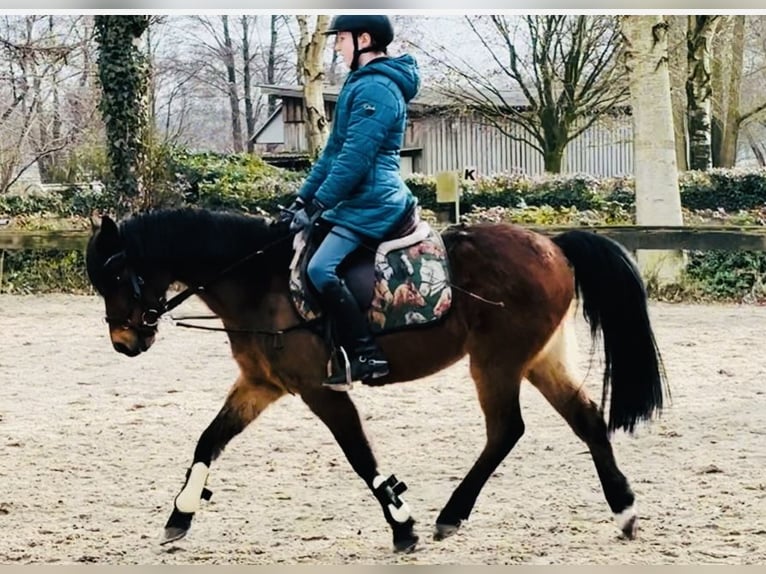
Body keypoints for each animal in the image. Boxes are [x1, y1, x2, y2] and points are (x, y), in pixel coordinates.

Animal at [87, 207, 668, 552]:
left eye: (115, 273)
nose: (123, 342)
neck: (259, 283)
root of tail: (554, 246)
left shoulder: (319, 389)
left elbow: (360, 455)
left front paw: (402, 524)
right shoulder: (261, 384)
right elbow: (208, 440)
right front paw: (180, 515)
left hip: (496, 362)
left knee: (506, 430)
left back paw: (450, 515)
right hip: (539, 359)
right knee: (586, 420)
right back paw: (624, 511)